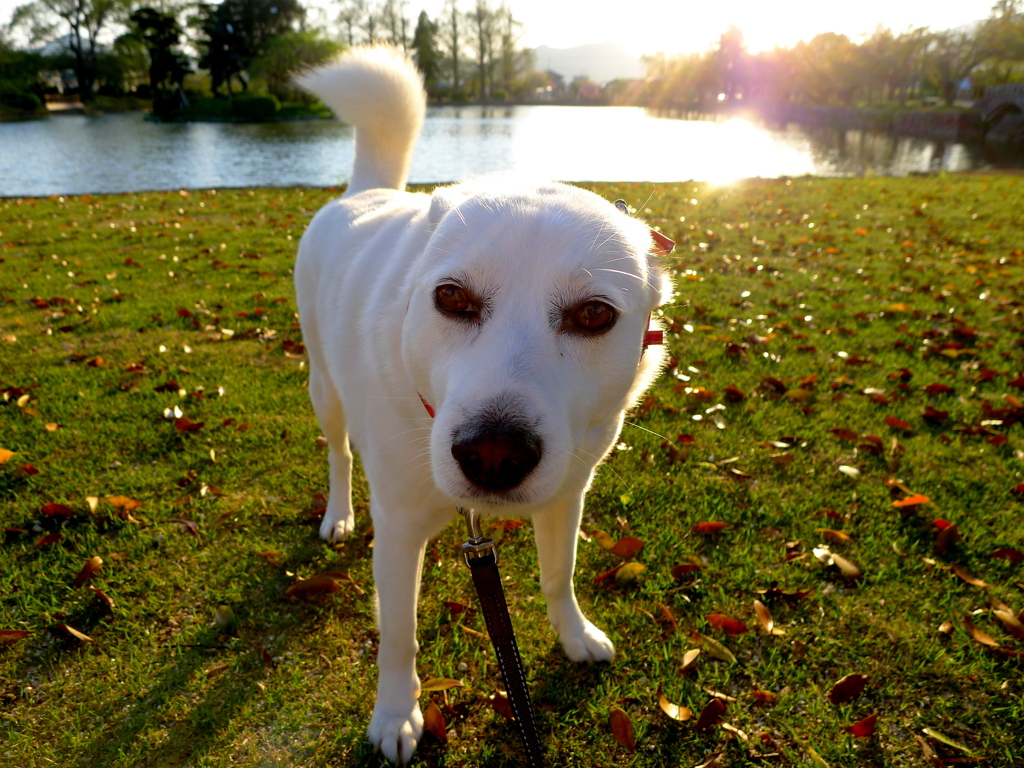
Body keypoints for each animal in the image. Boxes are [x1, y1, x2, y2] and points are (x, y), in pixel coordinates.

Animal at [292, 46, 671, 765]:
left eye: (593, 315)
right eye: (451, 298)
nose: (493, 454)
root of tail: (363, 195)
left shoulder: (569, 492)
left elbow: (559, 573)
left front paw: (574, 635)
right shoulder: (400, 529)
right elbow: (399, 634)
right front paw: (396, 714)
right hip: (324, 389)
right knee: (337, 452)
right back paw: (339, 514)